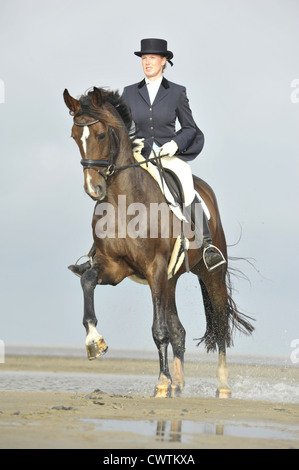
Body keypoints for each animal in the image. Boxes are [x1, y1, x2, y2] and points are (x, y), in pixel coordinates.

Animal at [63, 86, 255, 398]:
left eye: (101, 135)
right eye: (74, 136)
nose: (94, 188)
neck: (123, 203)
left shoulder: (154, 268)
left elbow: (159, 330)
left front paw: (161, 382)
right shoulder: (114, 267)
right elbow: (87, 280)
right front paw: (94, 341)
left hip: (209, 274)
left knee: (219, 322)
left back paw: (222, 386)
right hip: (170, 279)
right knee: (180, 330)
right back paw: (178, 383)